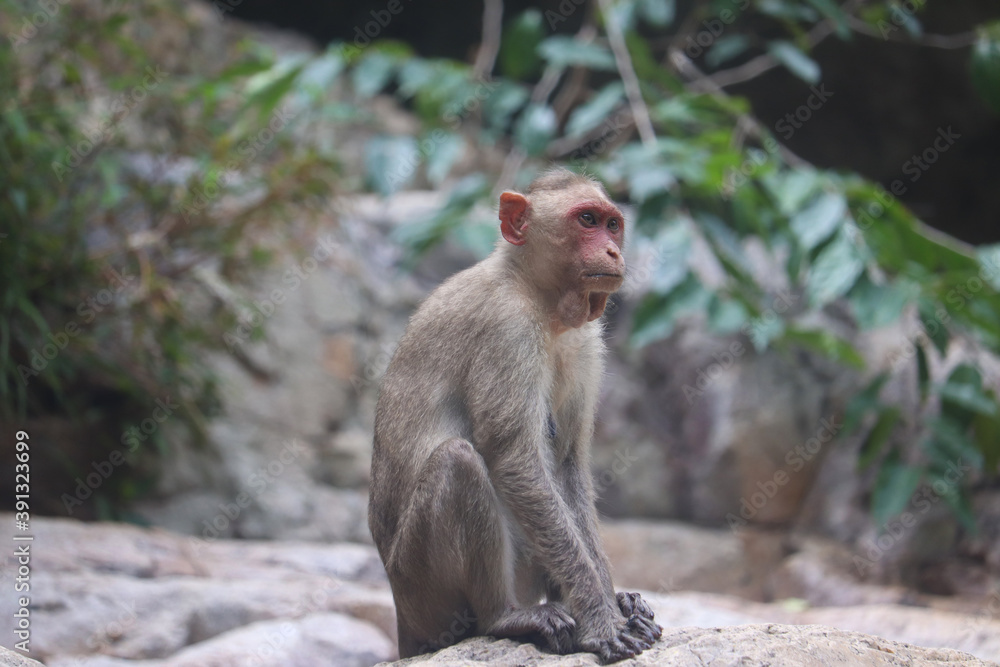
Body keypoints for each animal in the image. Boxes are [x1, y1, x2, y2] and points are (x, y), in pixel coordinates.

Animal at [370, 167, 664, 664]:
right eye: (587, 220)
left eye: (612, 224)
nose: (613, 251)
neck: (537, 294)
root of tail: (401, 616)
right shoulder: (507, 329)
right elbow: (515, 462)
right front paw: (601, 619)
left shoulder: (585, 343)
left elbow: (567, 466)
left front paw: (610, 601)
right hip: (420, 588)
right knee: (458, 462)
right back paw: (504, 617)